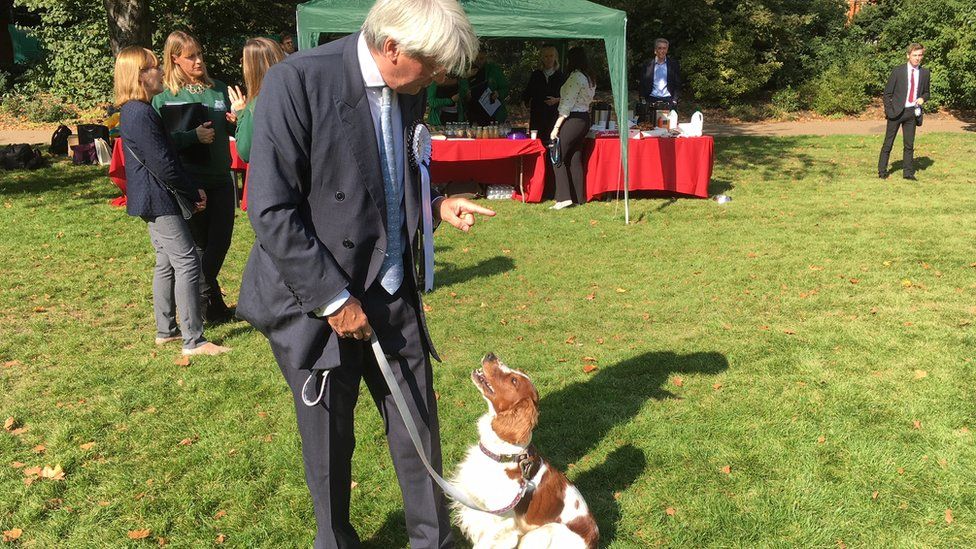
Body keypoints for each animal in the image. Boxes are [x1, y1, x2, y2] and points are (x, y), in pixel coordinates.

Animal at [452, 354, 604, 544]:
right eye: (516, 374)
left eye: (514, 380)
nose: (490, 355)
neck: (505, 454)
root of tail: (594, 538)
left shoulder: (500, 527)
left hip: (546, 531)